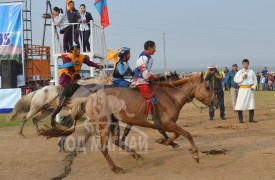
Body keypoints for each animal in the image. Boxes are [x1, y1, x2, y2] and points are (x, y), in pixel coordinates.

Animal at [66, 72, 217, 172]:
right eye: (208, 87)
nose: (215, 102)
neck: (171, 96)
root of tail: (88, 98)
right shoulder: (167, 123)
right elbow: (187, 134)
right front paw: (195, 155)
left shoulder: (166, 124)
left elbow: (176, 134)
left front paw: (165, 142)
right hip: (105, 124)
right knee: (104, 148)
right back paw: (116, 168)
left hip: (114, 122)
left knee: (116, 141)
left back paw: (136, 155)